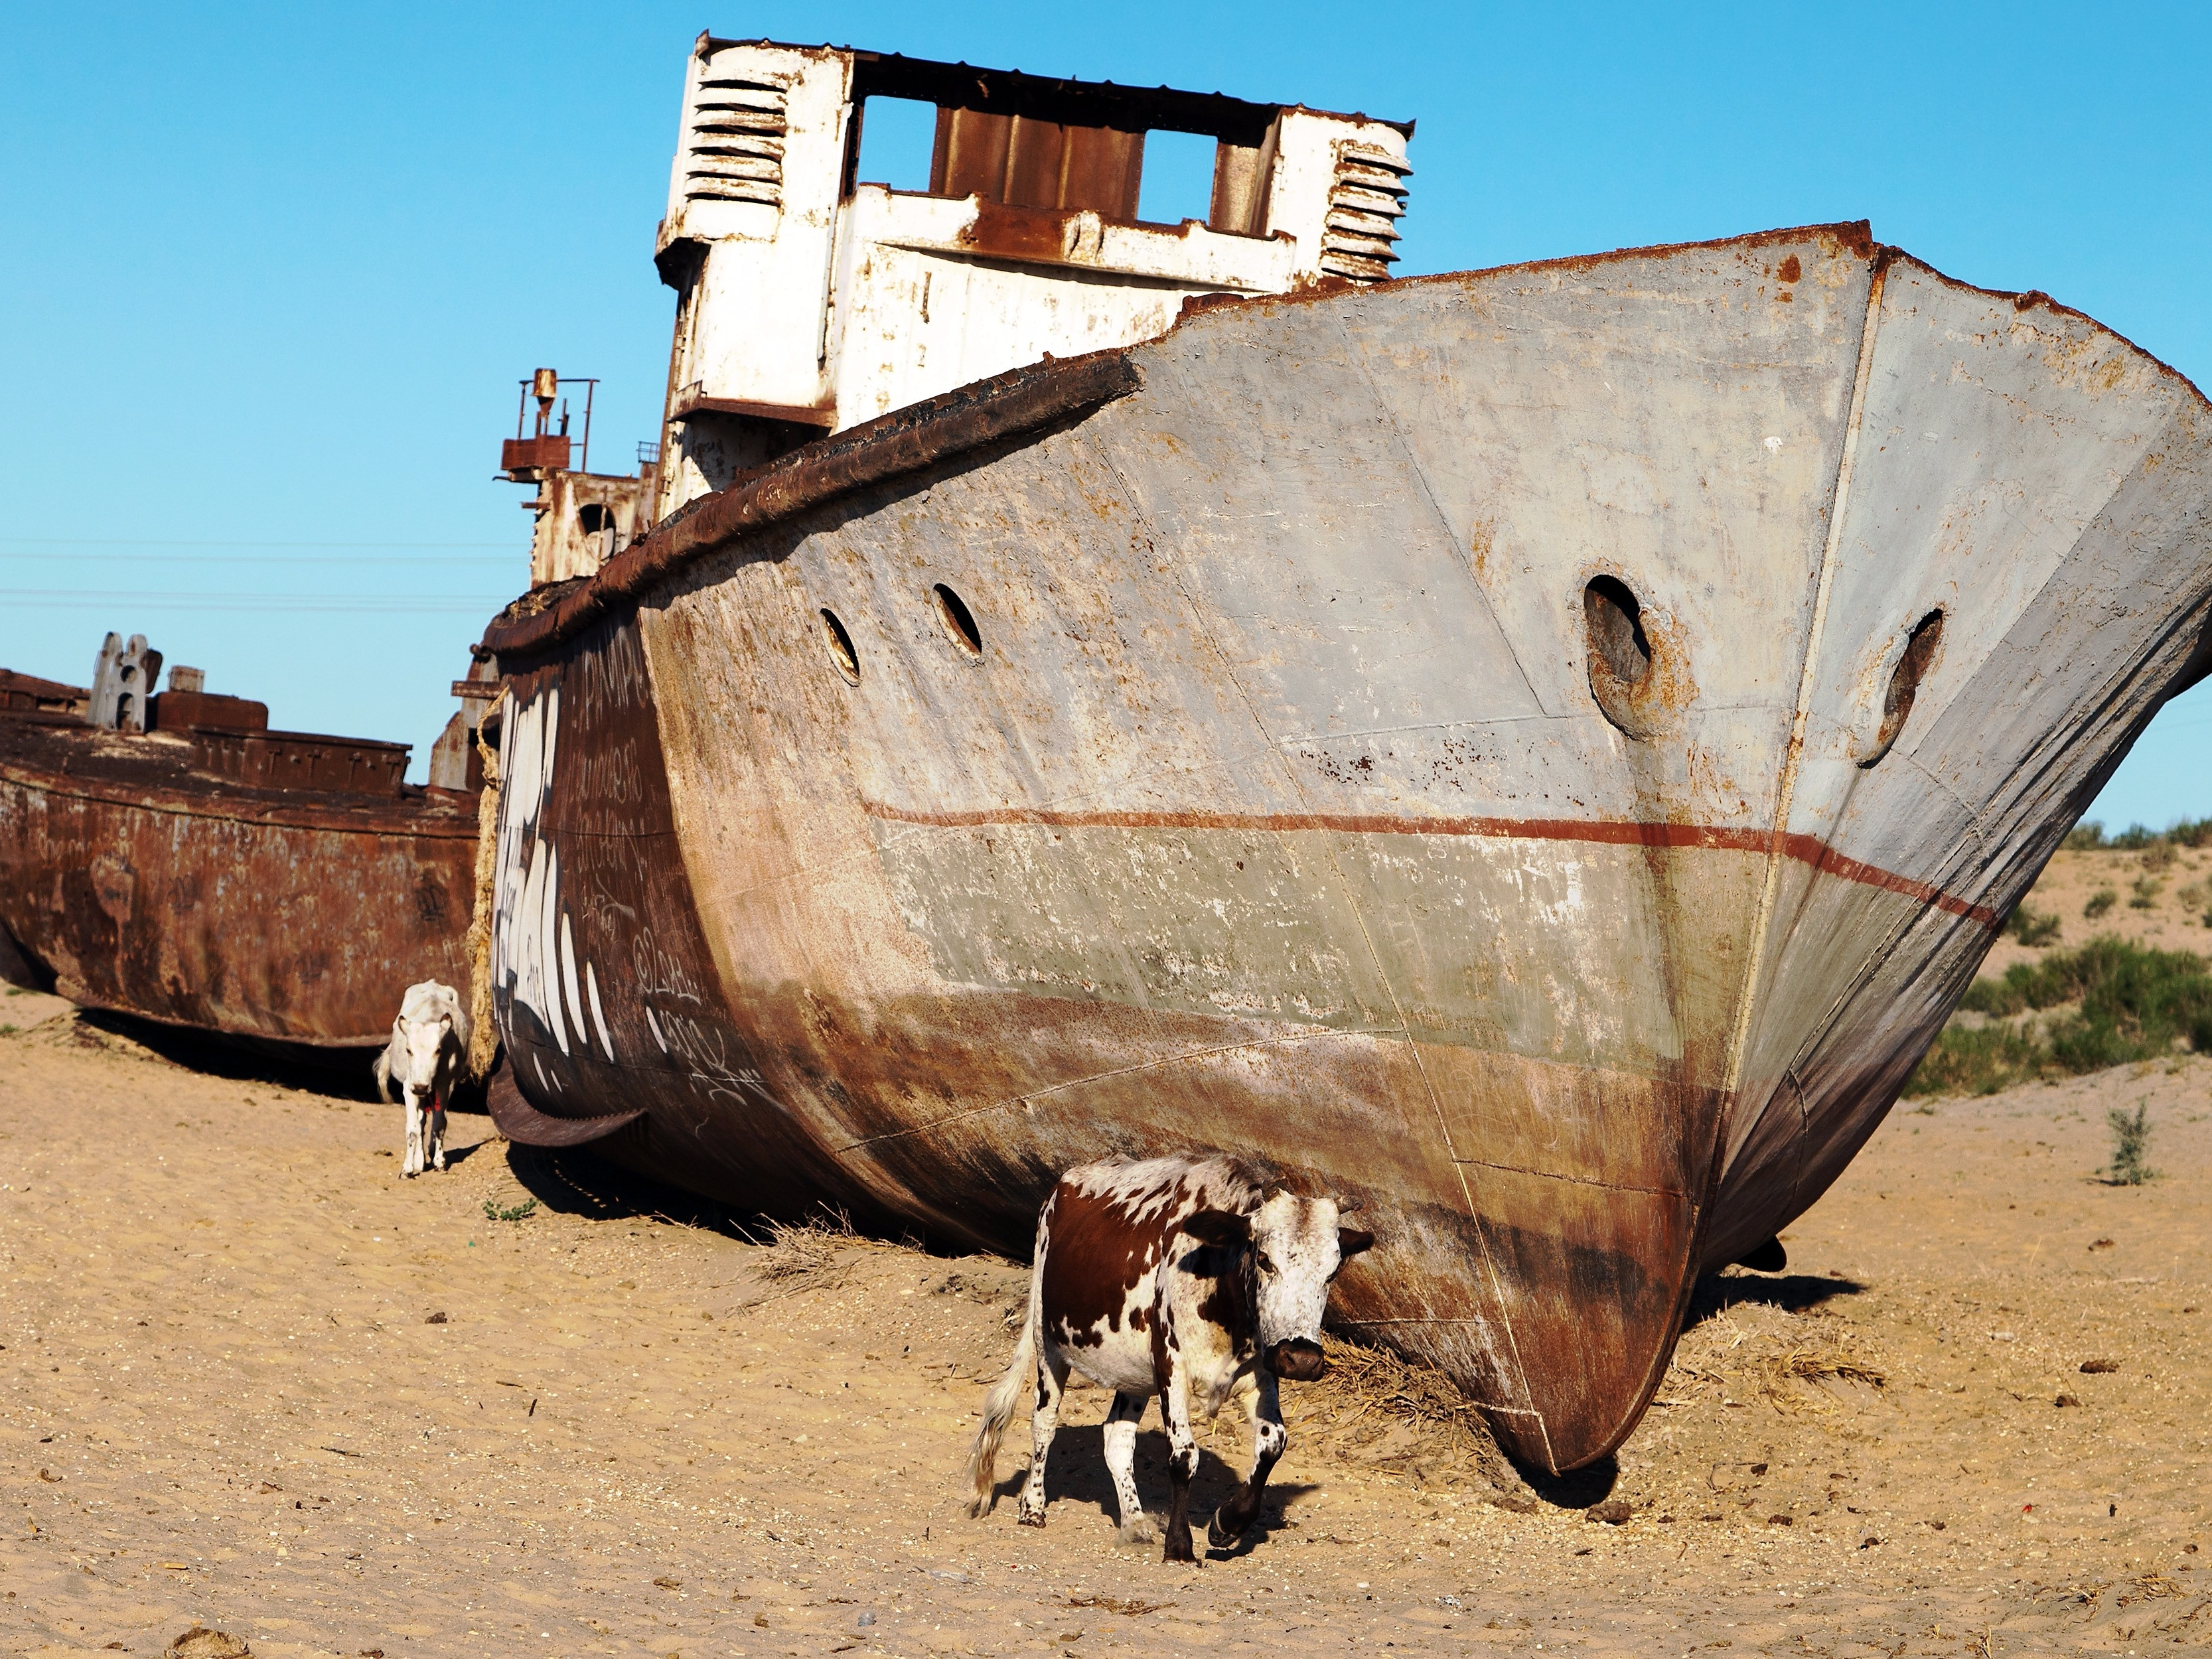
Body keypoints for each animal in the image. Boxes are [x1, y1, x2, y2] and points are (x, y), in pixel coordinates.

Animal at [371, 986, 471, 1185]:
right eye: (409, 1050)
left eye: (438, 1050)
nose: (421, 1087)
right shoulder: (409, 1087)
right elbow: (413, 1128)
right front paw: (407, 1169)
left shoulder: (445, 1084)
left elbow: (440, 1123)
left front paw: (440, 1162)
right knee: (420, 1121)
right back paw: (419, 1160)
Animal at [964, 1159, 1363, 1566]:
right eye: (1264, 1259)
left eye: (1333, 1271)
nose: (1301, 1359)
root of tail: (1064, 1184)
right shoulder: (1172, 1367)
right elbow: (1184, 1456)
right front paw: (1179, 1545)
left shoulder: (1262, 1370)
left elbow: (1273, 1443)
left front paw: (1227, 1523)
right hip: (1048, 1344)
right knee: (1044, 1422)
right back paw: (1033, 1507)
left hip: (1133, 1375)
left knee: (1117, 1437)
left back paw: (1134, 1523)